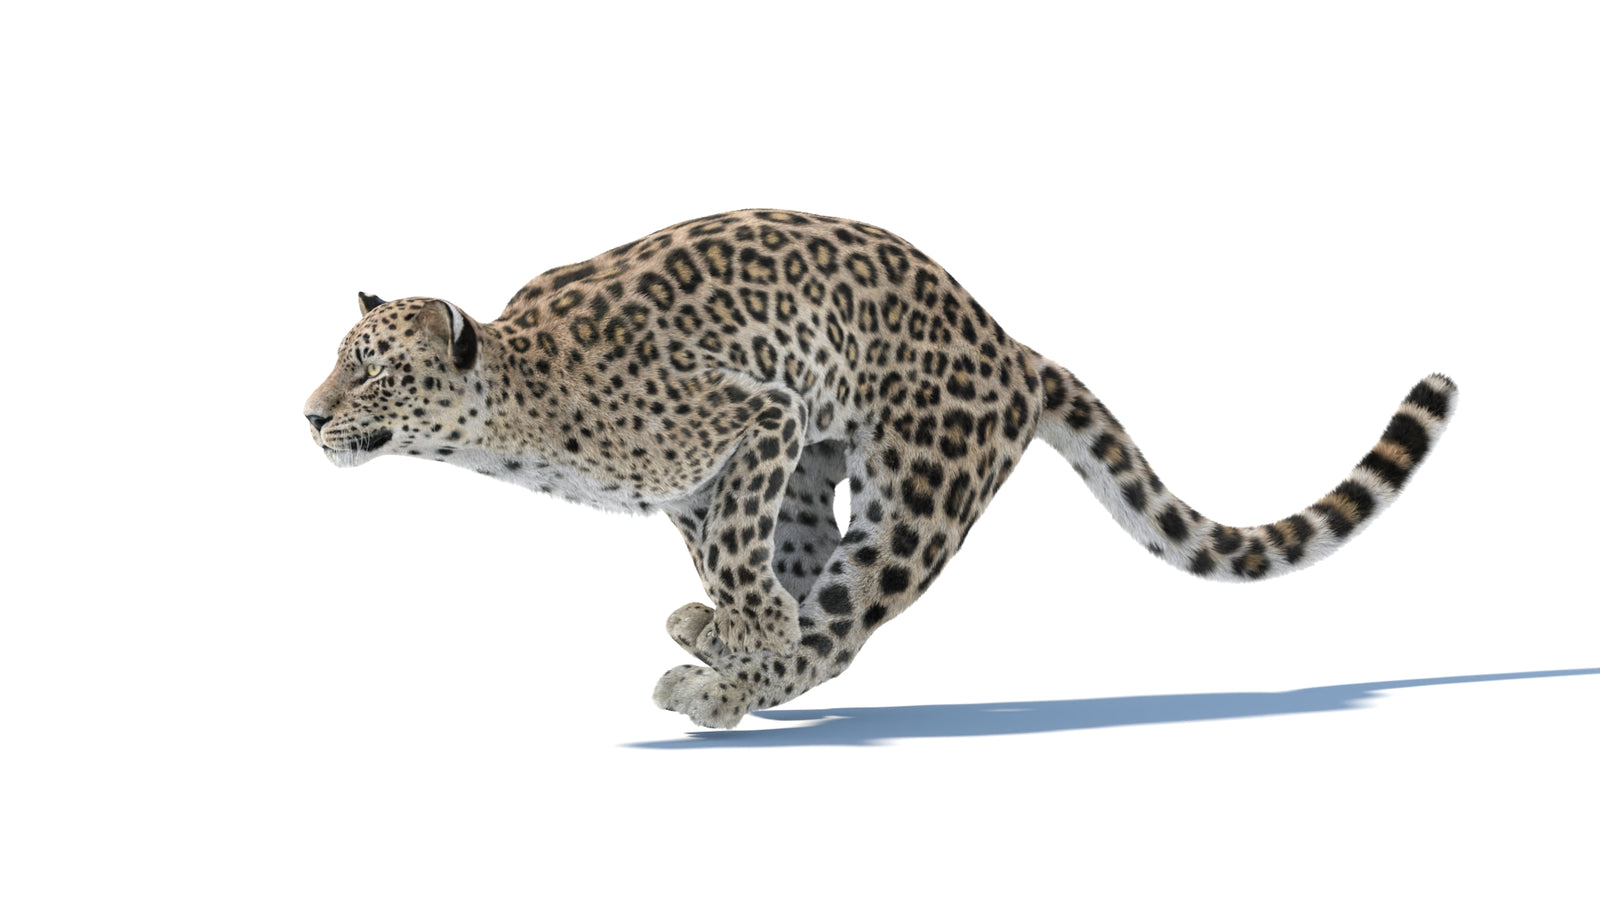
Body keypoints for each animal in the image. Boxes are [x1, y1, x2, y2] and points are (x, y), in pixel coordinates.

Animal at [304, 209, 1457, 729]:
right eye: (336, 360)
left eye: (371, 371)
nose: (308, 415)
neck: (517, 419)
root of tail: (1009, 344)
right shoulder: (716, 475)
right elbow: (735, 554)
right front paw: (733, 624)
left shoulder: (754, 416)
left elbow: (742, 562)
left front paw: (740, 632)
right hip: (828, 472)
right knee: (819, 597)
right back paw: (723, 657)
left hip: (916, 495)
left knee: (846, 621)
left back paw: (714, 678)